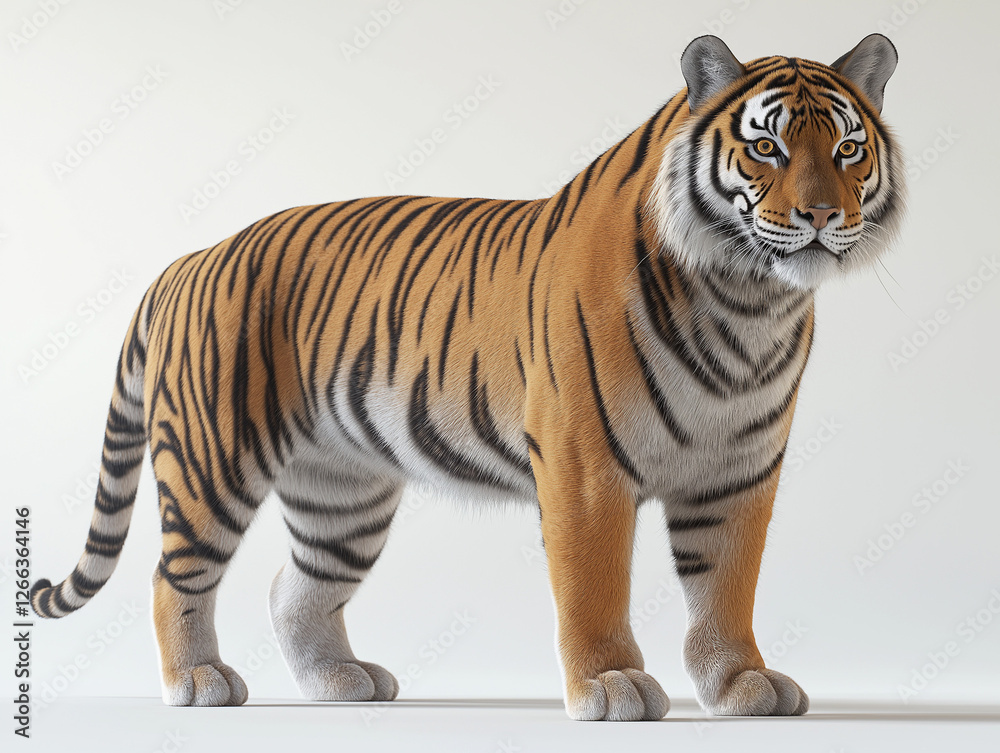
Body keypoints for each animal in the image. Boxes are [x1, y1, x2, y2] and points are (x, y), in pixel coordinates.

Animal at [31, 33, 905, 720]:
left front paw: (740, 684)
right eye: (767, 147)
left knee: (294, 586)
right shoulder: (587, 468)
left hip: (341, 491)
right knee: (171, 574)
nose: (823, 216)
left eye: (848, 149)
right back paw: (199, 680)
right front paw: (611, 685)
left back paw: (341, 681)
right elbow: (593, 587)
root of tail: (187, 258)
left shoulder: (739, 470)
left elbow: (727, 586)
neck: (746, 301)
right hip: (211, 458)